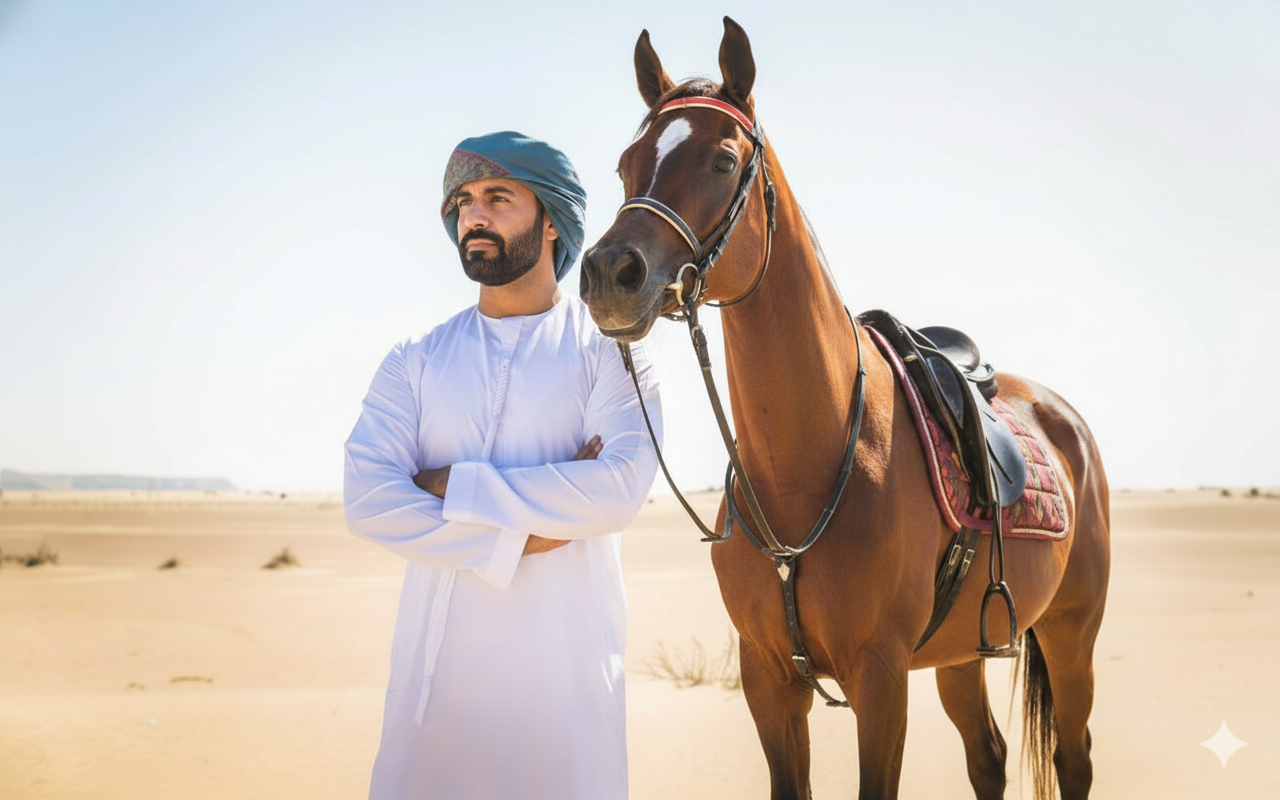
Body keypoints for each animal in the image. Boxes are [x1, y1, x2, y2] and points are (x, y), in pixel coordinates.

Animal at [579, 17, 1110, 800]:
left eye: (722, 161)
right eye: (625, 164)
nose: (609, 273)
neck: (813, 461)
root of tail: (1063, 416)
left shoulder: (881, 680)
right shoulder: (768, 681)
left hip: (1073, 633)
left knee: (1074, 759)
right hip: (961, 654)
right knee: (987, 756)